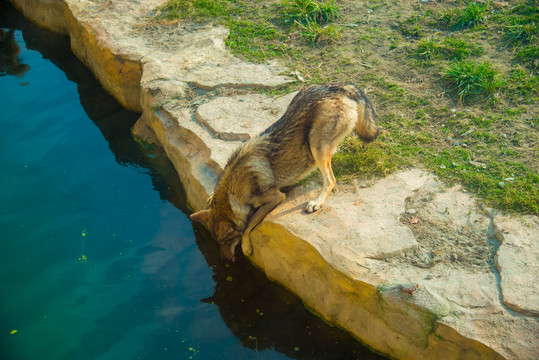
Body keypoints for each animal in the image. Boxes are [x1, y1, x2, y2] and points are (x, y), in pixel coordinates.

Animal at [190, 83, 380, 262]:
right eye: (218, 242)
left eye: (226, 242)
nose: (224, 259)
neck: (234, 189)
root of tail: (339, 87)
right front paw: (210, 197)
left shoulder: (276, 198)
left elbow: (249, 224)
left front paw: (246, 247)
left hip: (316, 145)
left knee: (331, 179)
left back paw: (316, 202)